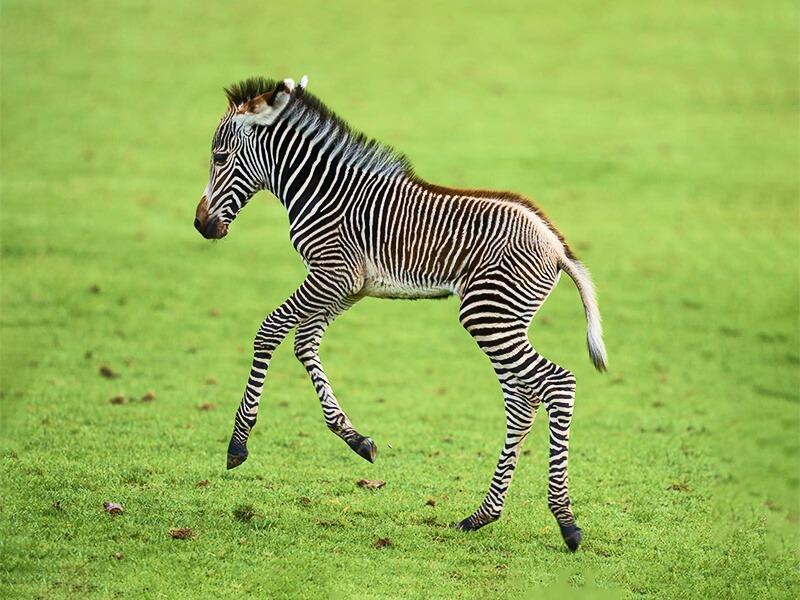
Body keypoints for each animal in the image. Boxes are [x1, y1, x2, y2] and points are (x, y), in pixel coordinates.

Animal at [194, 75, 607, 552]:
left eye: (219, 157)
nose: (201, 225)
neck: (322, 193)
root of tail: (556, 246)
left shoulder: (331, 273)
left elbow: (270, 329)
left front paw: (238, 444)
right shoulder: (348, 287)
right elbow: (305, 342)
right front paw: (354, 438)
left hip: (488, 314)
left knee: (557, 383)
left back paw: (566, 522)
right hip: (502, 319)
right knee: (522, 401)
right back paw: (482, 516)